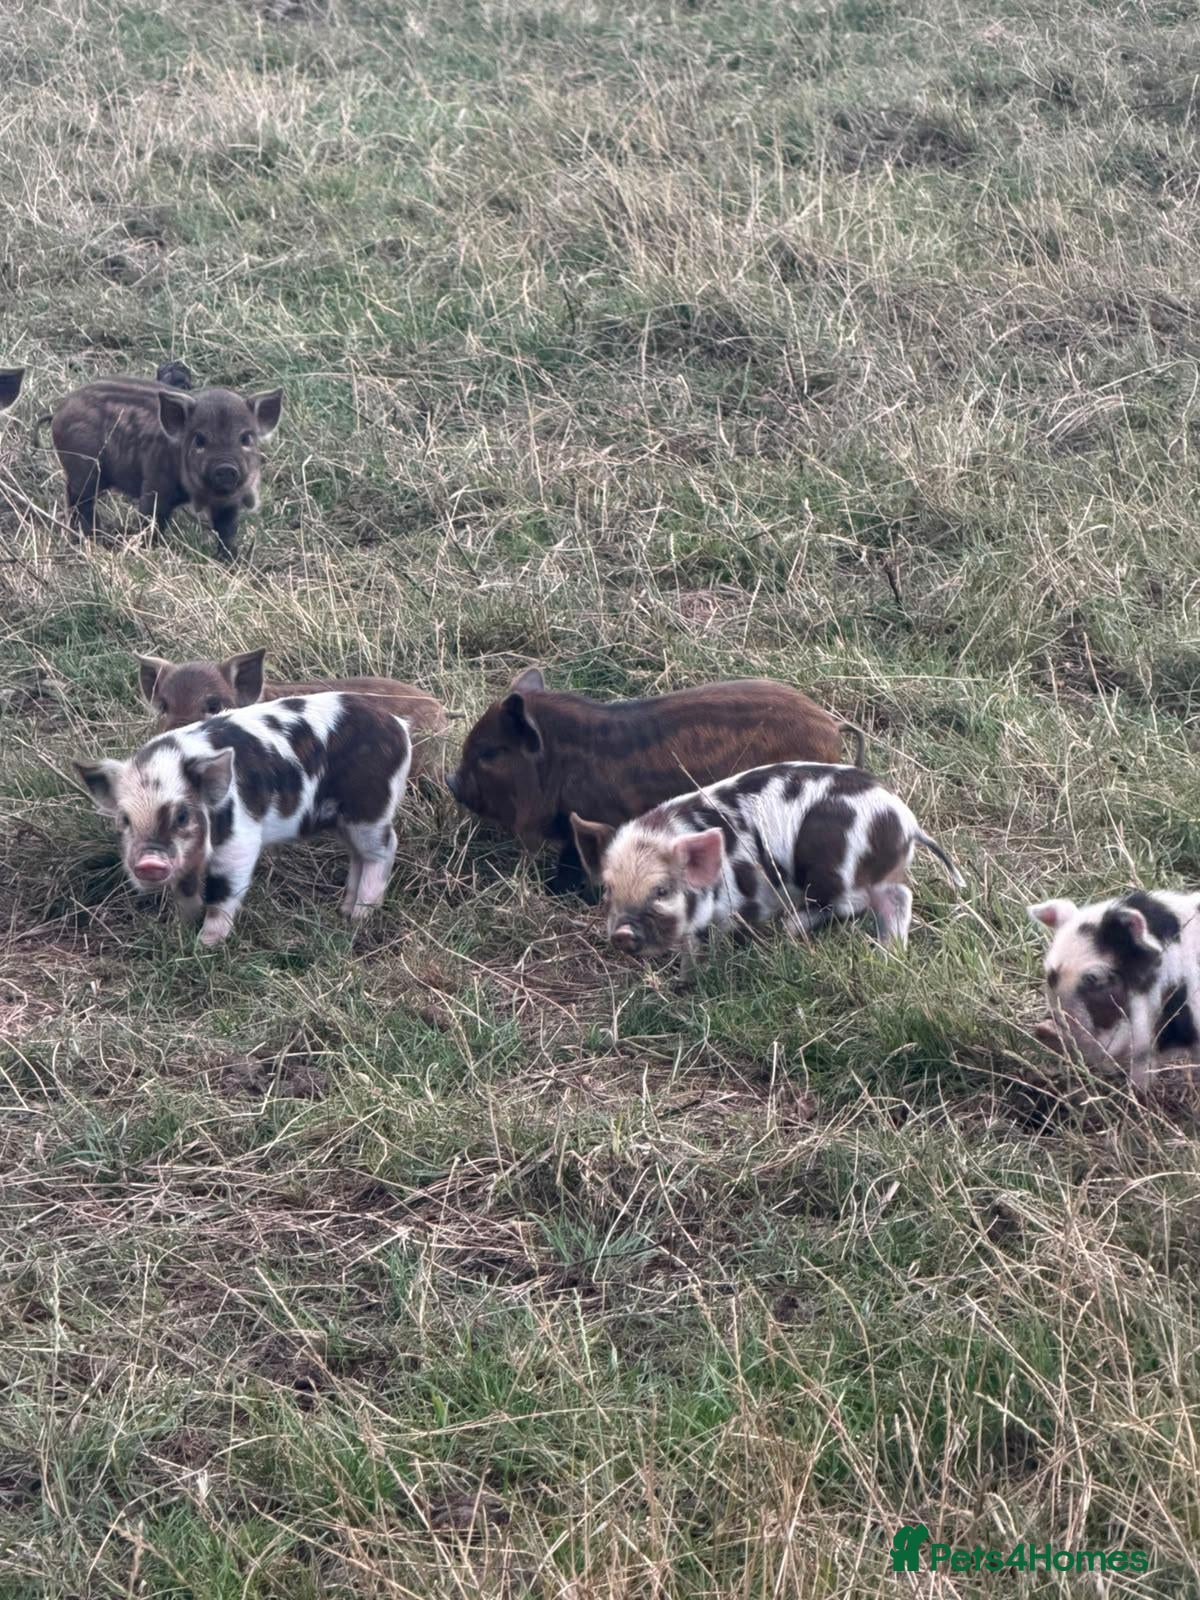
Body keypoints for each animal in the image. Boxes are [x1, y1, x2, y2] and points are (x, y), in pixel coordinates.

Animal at [47, 377, 282, 557]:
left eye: (246, 438)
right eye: (199, 439)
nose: (226, 467)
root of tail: (58, 413)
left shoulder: (229, 503)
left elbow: (227, 530)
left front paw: (231, 560)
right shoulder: (155, 484)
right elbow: (151, 520)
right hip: (84, 469)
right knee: (81, 502)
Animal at [74, 692, 410, 946]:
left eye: (182, 815)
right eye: (125, 820)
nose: (149, 862)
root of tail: (398, 726)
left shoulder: (239, 843)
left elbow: (223, 893)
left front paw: (205, 945)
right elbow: (185, 894)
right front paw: (181, 932)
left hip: (369, 808)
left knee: (384, 848)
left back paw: (359, 917)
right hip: (343, 820)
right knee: (357, 856)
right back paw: (344, 911)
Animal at [570, 761, 963, 974]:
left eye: (662, 890)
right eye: (609, 889)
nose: (622, 933)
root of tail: (906, 821)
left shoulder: (737, 902)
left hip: (833, 871)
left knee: (852, 904)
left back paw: (792, 928)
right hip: (880, 875)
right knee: (900, 897)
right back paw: (888, 954)